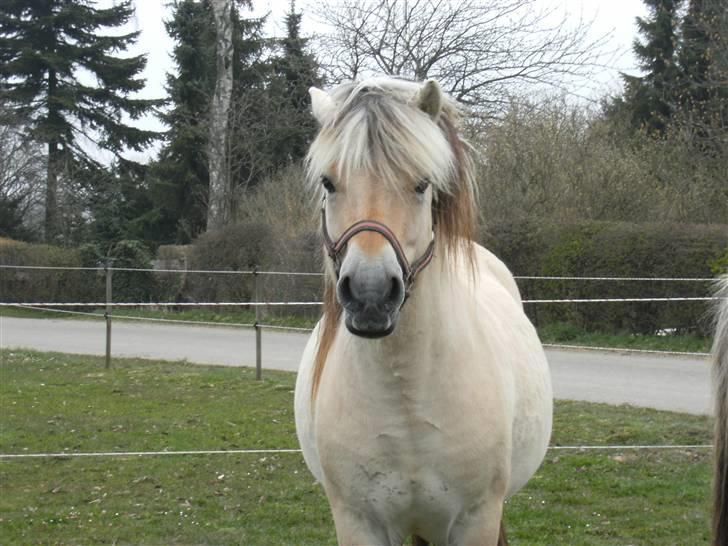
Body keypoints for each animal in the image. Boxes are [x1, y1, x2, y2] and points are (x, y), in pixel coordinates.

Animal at [292, 77, 552, 544]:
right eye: (329, 183)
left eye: (421, 184)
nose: (371, 293)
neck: (405, 399)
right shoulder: (359, 522)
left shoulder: (476, 519)